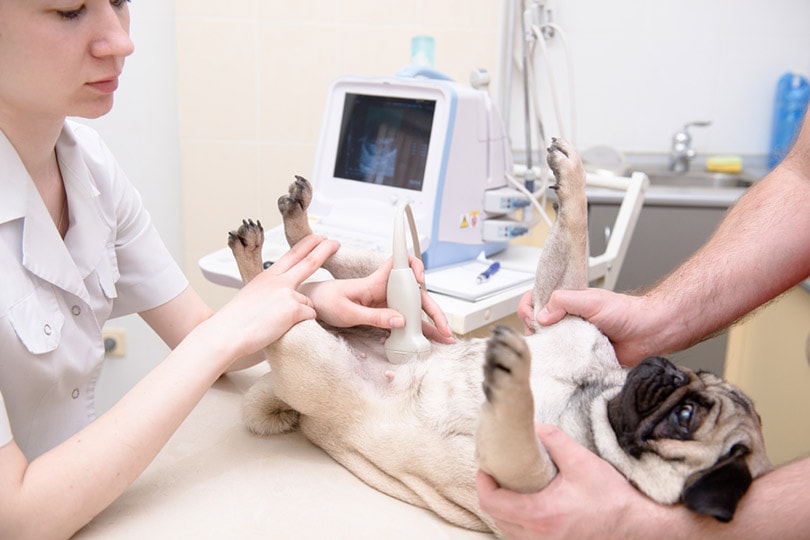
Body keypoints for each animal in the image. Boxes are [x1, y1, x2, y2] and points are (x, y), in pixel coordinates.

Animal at [227, 139, 772, 536]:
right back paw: (288, 227)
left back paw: (263, 268)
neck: (591, 395)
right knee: (324, 254)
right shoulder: (559, 310)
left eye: (687, 418)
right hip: (381, 278)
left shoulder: (528, 478)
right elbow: (575, 234)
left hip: (311, 355)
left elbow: (516, 429)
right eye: (693, 373)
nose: (663, 369)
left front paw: (511, 383)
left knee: (286, 304)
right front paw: (571, 175)